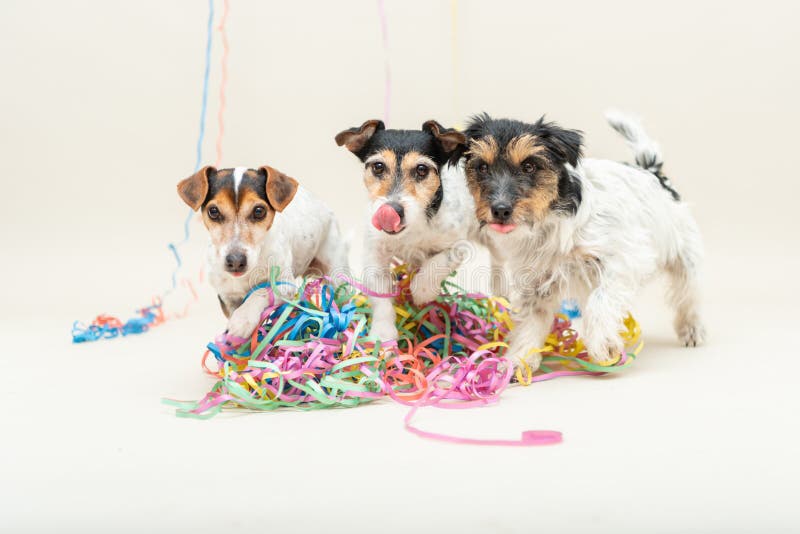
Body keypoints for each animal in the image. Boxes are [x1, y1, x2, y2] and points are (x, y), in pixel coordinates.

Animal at [177, 165, 348, 338]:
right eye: (213, 211)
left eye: (259, 211)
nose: (236, 261)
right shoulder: (227, 297)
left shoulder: (285, 284)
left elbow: (261, 291)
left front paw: (243, 319)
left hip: (337, 275)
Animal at [334, 119, 478, 342]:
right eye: (378, 166)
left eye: (421, 169)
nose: (393, 210)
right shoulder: (374, 253)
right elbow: (380, 296)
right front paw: (383, 335)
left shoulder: (459, 247)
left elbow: (437, 263)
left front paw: (422, 291)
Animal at [462, 112, 708, 372]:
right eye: (482, 167)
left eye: (529, 166)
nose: (500, 210)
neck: (549, 220)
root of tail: (652, 171)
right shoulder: (537, 282)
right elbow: (531, 321)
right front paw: (519, 359)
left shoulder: (624, 260)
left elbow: (600, 300)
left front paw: (603, 345)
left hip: (686, 259)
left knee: (688, 295)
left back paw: (692, 329)